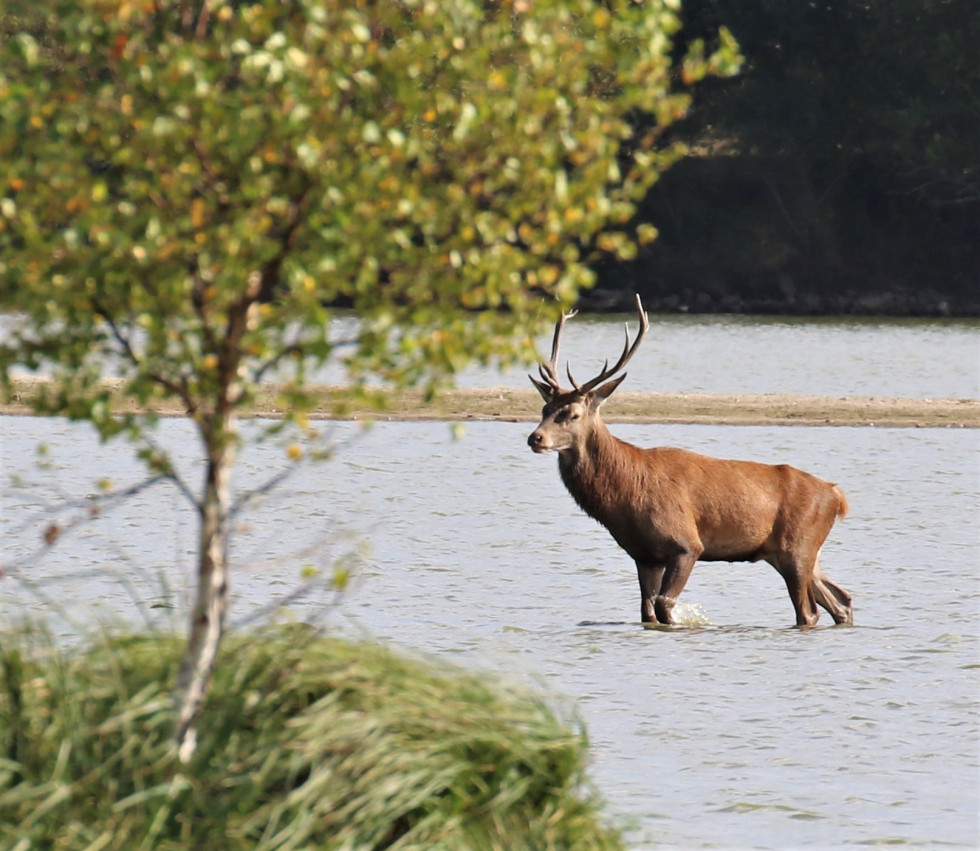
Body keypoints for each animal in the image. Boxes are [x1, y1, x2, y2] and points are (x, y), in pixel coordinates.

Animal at [527, 295, 853, 628]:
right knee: (841, 600)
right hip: (798, 553)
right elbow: (647, 612)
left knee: (809, 611)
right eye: (544, 409)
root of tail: (836, 496)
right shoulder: (645, 555)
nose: (535, 438)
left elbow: (664, 606)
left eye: (573, 414)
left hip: (797, 547)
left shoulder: (686, 544)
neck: (625, 496)